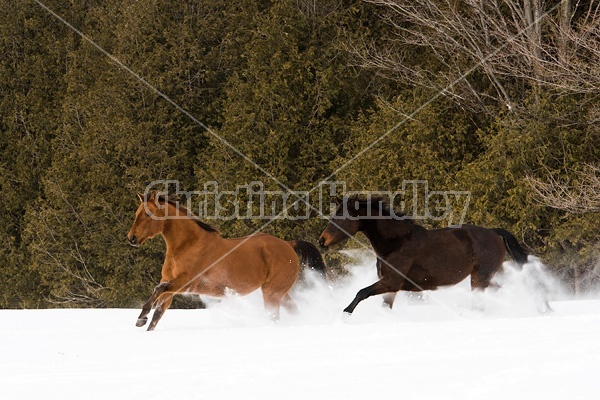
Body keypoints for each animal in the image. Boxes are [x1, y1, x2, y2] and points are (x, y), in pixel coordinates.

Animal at [125, 192, 324, 330]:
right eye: (137, 213)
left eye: (149, 214)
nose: (131, 238)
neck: (187, 245)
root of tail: (288, 245)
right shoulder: (171, 285)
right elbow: (158, 312)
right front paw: (144, 322)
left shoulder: (187, 283)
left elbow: (158, 290)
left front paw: (141, 317)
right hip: (280, 292)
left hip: (272, 292)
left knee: (274, 316)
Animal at [318, 197, 536, 316]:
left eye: (340, 217)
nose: (321, 240)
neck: (396, 243)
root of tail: (493, 232)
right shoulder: (391, 287)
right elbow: (383, 305)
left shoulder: (391, 281)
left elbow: (361, 293)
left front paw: (344, 314)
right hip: (486, 277)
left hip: (480, 276)